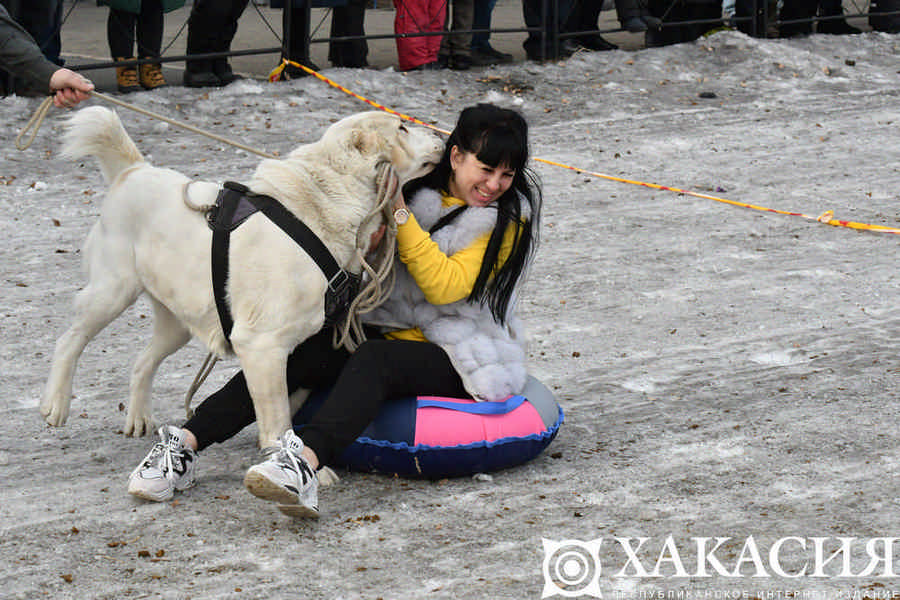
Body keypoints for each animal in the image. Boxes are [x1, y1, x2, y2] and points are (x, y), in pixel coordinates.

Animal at [42, 105, 442, 448]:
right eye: (402, 128)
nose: (439, 135)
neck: (324, 204)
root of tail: (133, 170)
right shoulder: (261, 345)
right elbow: (277, 419)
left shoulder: (297, 347)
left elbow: (286, 412)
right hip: (113, 291)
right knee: (69, 339)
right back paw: (56, 403)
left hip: (177, 322)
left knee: (142, 362)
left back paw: (138, 417)